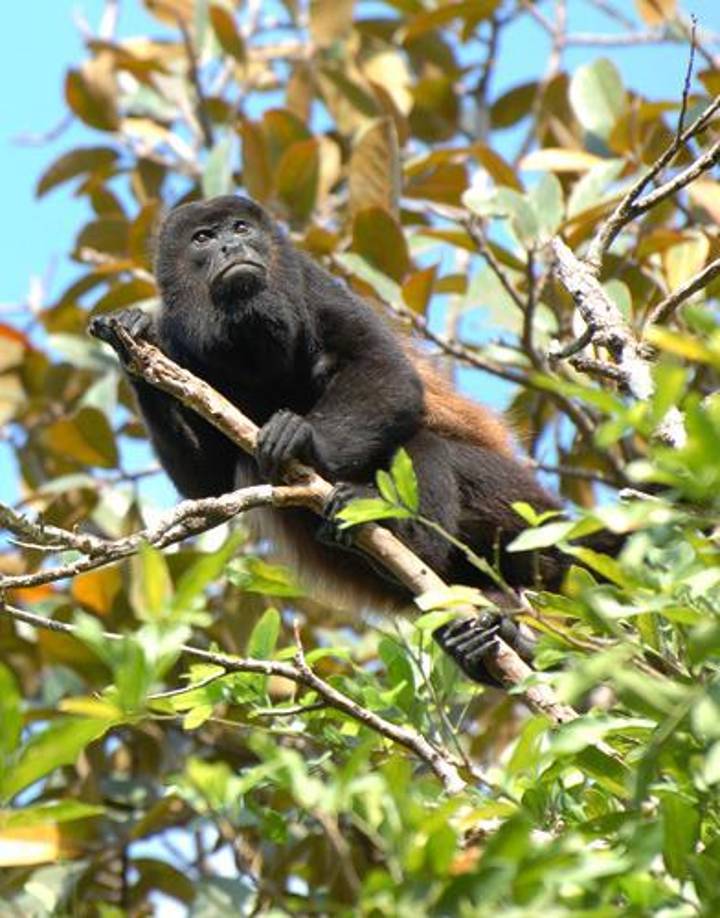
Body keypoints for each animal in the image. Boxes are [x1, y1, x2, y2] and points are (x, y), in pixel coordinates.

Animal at [90, 194, 583, 687]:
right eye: (203, 238)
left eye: (241, 227)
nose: (231, 246)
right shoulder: (180, 341)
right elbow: (209, 483)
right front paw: (134, 336)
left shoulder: (313, 283)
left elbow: (388, 370)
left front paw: (303, 438)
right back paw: (485, 640)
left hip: (526, 508)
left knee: (424, 445)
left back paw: (404, 537)